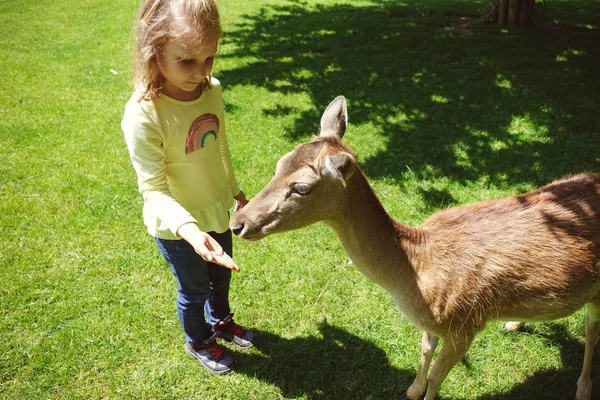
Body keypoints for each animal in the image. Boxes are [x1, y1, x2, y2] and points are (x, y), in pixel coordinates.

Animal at [230, 97, 600, 400]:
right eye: (279, 163)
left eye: (303, 188)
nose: (238, 223)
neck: (415, 274)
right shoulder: (433, 325)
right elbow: (422, 353)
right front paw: (410, 390)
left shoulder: (465, 324)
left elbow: (437, 376)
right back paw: (514, 324)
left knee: (591, 330)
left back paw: (583, 388)